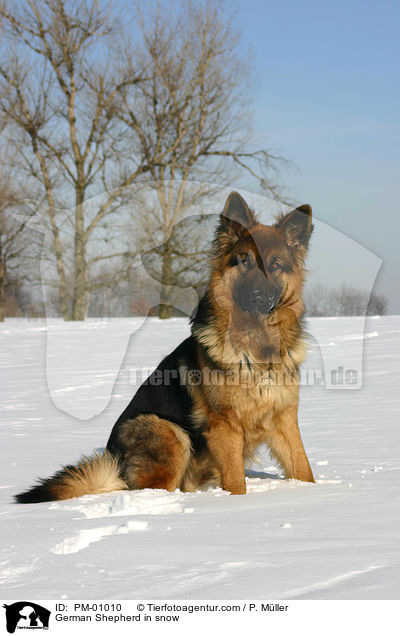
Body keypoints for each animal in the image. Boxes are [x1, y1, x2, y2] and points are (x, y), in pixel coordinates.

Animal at [15, 193, 314, 502]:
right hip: (169, 430)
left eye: (275, 265)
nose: (257, 298)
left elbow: (303, 468)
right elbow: (236, 483)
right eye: (244, 262)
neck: (255, 342)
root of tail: (116, 464)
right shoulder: (225, 426)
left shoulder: (285, 418)